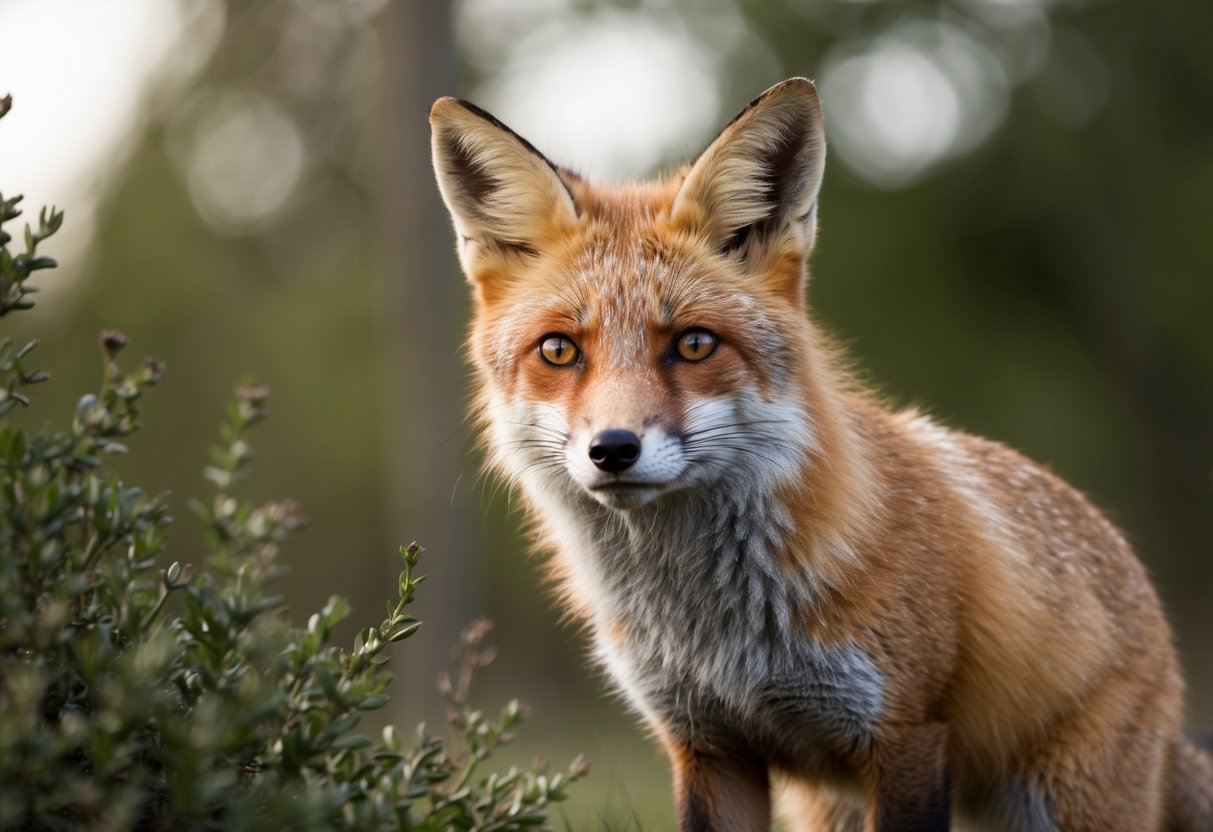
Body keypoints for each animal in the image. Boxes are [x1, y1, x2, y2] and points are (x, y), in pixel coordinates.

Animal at [428, 78, 1213, 831]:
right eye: (559, 350)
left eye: (694, 344)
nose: (613, 449)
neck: (717, 635)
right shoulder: (708, 746)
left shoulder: (905, 735)